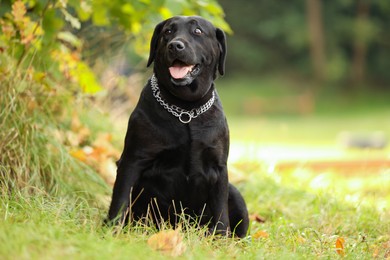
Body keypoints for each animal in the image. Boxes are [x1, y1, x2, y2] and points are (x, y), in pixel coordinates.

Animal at [105, 15, 248, 237]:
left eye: (198, 31)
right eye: (168, 32)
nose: (175, 45)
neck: (186, 109)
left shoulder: (218, 168)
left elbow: (220, 210)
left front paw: (220, 238)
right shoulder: (132, 160)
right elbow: (120, 198)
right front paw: (112, 229)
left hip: (236, 195)